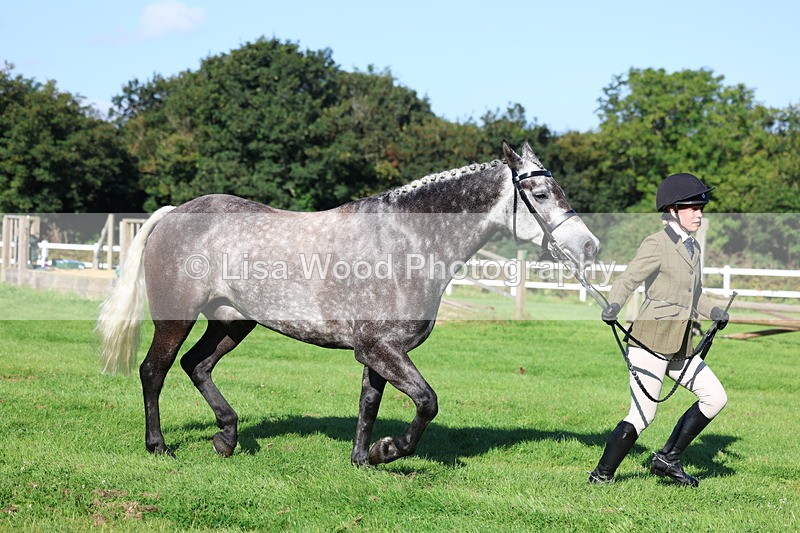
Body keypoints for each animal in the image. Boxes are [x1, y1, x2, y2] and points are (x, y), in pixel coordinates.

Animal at [96, 141, 600, 466]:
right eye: (539, 194)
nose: (589, 246)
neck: (406, 241)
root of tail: (174, 213)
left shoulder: (379, 351)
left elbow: (369, 403)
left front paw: (362, 457)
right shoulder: (380, 349)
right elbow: (427, 402)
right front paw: (388, 450)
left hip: (232, 322)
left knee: (197, 365)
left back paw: (227, 437)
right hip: (176, 318)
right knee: (154, 371)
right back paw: (159, 446)